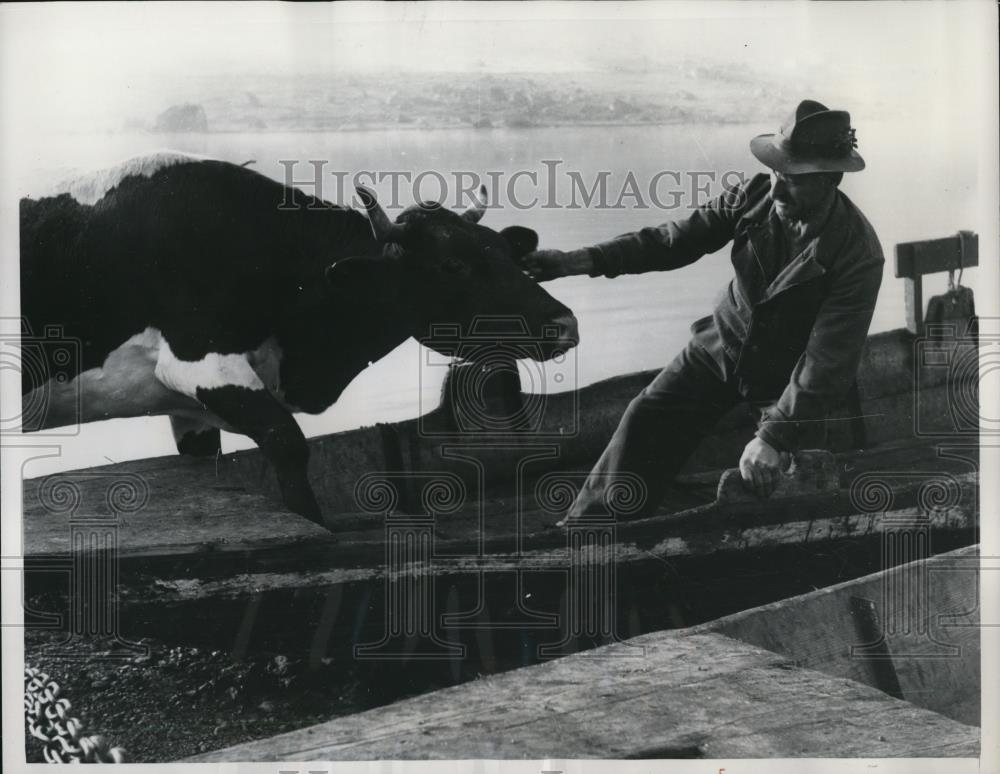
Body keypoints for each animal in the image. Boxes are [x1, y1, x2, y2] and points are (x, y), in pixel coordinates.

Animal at [19, 152, 580, 528]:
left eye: (503, 252)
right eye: (452, 265)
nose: (565, 324)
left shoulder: (190, 406)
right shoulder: (198, 361)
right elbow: (288, 442)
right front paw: (316, 526)